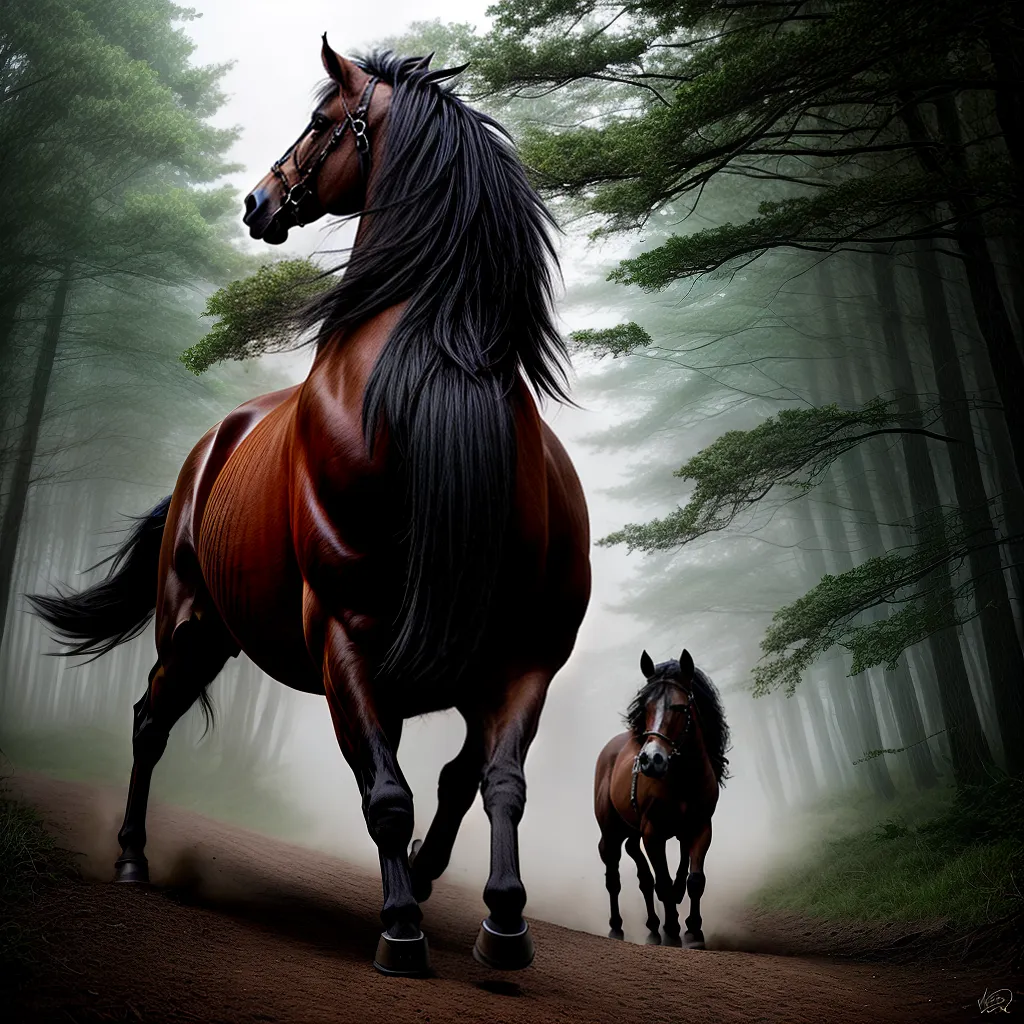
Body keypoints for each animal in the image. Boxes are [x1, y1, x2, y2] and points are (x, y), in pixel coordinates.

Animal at [28, 40, 591, 977]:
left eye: (322, 122)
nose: (258, 200)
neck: (430, 383)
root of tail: (213, 441)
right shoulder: (345, 637)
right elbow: (391, 794)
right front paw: (400, 927)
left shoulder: (520, 659)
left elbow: (489, 781)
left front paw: (502, 922)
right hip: (192, 627)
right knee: (149, 724)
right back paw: (134, 858)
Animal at [594, 649, 728, 949]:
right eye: (645, 708)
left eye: (679, 708)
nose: (650, 759)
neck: (683, 779)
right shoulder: (653, 832)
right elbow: (663, 883)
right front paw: (672, 931)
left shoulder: (700, 827)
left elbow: (694, 879)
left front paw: (693, 932)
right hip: (611, 830)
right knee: (613, 875)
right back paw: (617, 928)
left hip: (634, 831)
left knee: (641, 871)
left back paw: (653, 928)